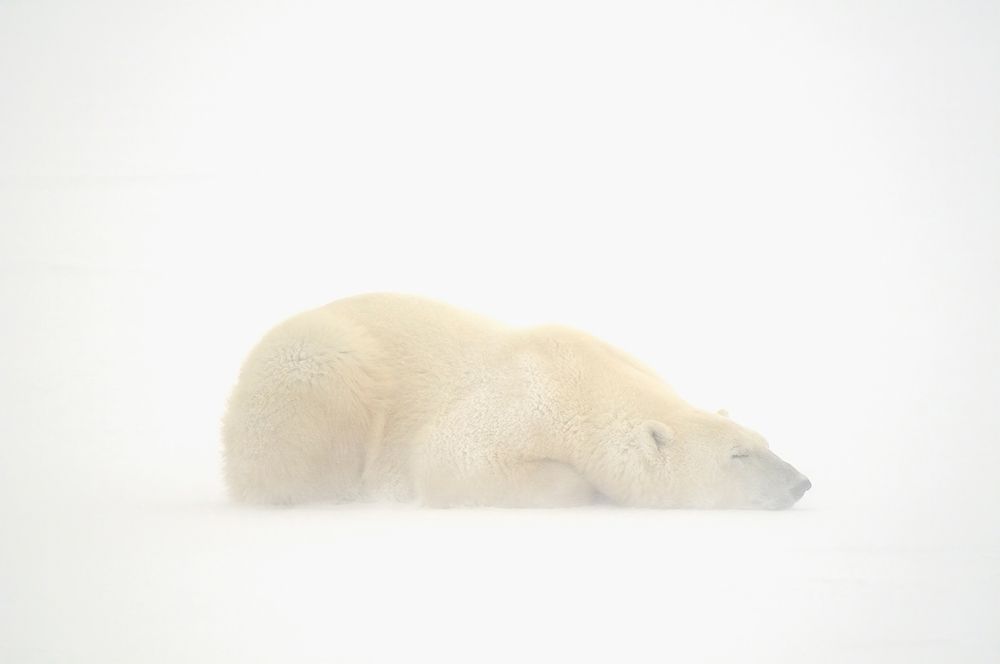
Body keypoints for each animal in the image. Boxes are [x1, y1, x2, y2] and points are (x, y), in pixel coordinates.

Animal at [222, 293, 811, 509]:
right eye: (738, 455)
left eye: (763, 440)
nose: (800, 482)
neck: (583, 376)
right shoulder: (519, 397)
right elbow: (451, 460)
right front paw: (586, 488)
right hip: (317, 368)